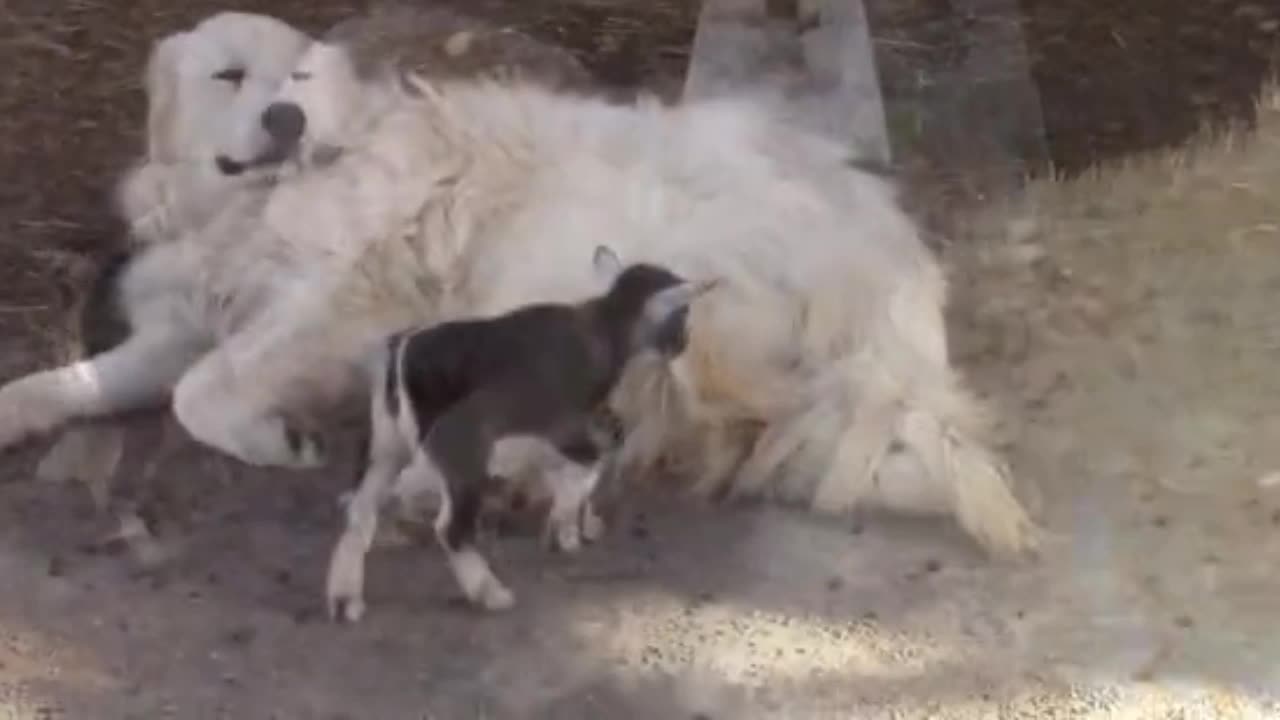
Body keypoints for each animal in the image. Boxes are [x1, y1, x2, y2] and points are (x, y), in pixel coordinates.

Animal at [2, 16, 1039, 556]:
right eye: (229, 76)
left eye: (296, 77)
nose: (287, 120)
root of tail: (891, 266)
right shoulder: (187, 322)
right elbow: (79, 383)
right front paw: (22, 408)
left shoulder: (343, 301)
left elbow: (198, 393)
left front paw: (276, 439)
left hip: (566, 260)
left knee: (623, 430)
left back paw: (443, 484)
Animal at [325, 244, 716, 617]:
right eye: (684, 313)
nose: (684, 344)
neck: (601, 329)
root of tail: (400, 358)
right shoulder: (565, 424)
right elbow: (589, 465)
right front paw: (566, 531)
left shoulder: (544, 432)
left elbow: (569, 469)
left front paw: (576, 526)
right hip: (457, 451)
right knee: (447, 527)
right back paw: (490, 593)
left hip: (385, 445)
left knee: (360, 511)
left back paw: (344, 598)